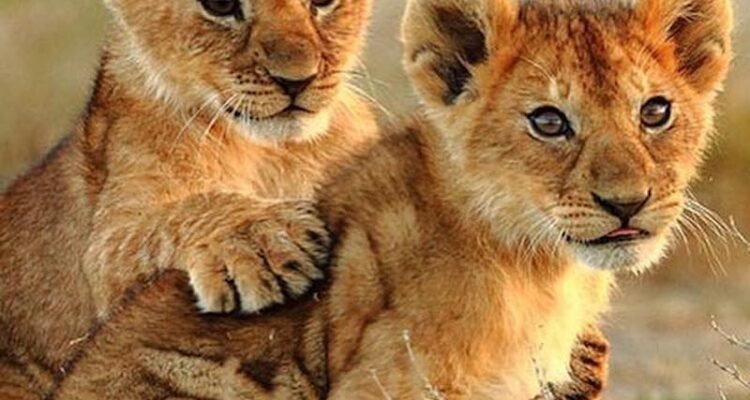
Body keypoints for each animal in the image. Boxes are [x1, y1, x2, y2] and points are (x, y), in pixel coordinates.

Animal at [0, 0, 376, 397]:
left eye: (322, 3)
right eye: (220, 6)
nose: (296, 81)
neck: (275, 150)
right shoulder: (107, 247)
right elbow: (171, 218)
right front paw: (263, 240)